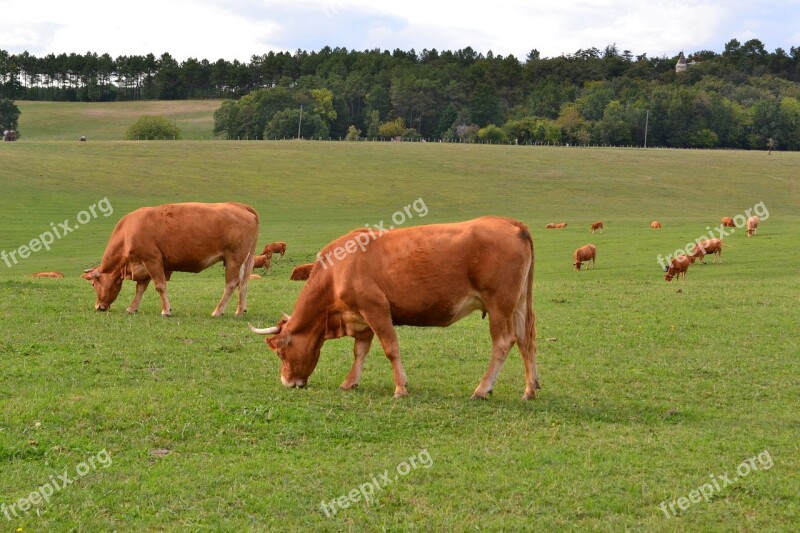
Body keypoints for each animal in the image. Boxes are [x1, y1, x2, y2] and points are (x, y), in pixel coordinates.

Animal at [81, 202, 258, 314]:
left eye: (93, 284)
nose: (98, 307)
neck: (127, 232)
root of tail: (240, 206)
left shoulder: (152, 261)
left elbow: (160, 286)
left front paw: (166, 310)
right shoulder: (144, 266)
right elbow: (140, 289)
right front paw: (132, 308)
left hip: (234, 258)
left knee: (231, 284)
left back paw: (218, 311)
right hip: (243, 261)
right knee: (243, 284)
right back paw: (240, 310)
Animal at [250, 216, 536, 400]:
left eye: (281, 354)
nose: (287, 383)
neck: (336, 271)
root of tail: (511, 223)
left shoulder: (376, 309)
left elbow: (390, 348)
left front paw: (400, 389)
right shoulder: (361, 318)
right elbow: (360, 351)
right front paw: (349, 382)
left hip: (499, 304)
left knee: (503, 343)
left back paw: (482, 389)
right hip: (520, 304)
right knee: (526, 340)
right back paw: (530, 389)